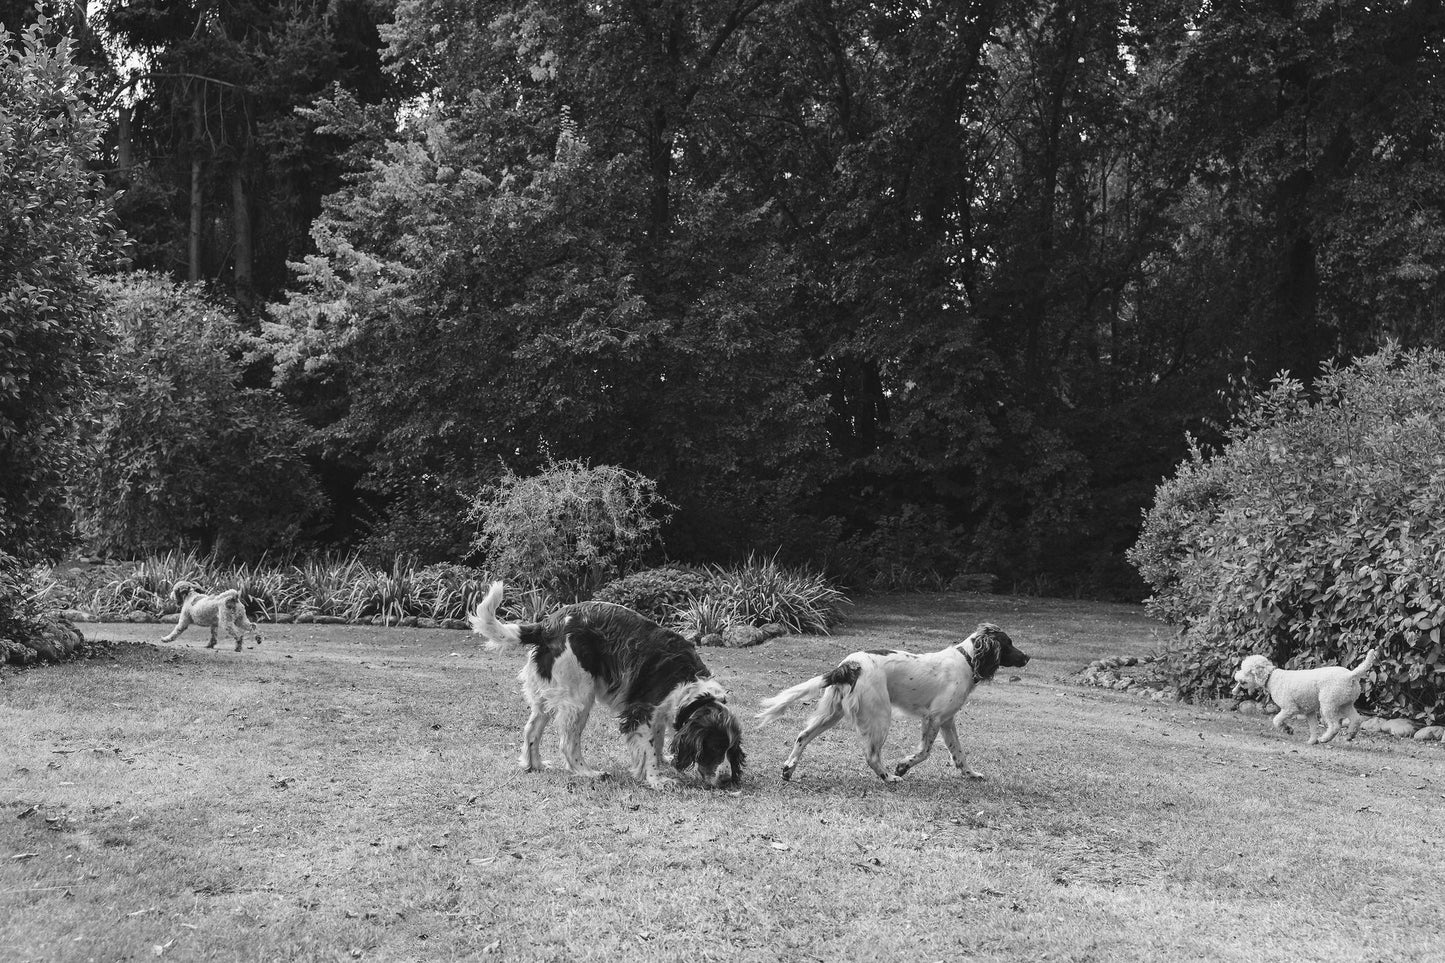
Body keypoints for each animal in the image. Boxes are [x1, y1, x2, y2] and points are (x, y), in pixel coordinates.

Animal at [471, 581, 745, 786]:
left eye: (728, 749)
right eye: (714, 747)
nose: (722, 781)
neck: (689, 686)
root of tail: (547, 625)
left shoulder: (657, 714)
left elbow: (656, 742)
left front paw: (661, 763)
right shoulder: (642, 711)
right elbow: (648, 748)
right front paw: (656, 779)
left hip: (546, 696)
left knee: (531, 731)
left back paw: (534, 765)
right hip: (579, 698)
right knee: (567, 743)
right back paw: (587, 772)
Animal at [757, 621, 1028, 780]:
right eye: (1009, 643)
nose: (1027, 657)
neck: (967, 659)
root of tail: (849, 666)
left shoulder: (947, 720)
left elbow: (958, 753)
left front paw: (971, 774)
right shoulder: (934, 718)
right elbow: (924, 751)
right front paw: (903, 766)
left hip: (833, 713)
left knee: (802, 735)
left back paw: (788, 768)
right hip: (880, 716)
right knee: (871, 756)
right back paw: (889, 777)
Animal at [1231, 644, 1375, 740]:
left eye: (1247, 671)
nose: (1236, 677)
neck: (1271, 677)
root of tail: (1350, 675)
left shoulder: (1290, 708)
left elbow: (1277, 720)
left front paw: (1287, 729)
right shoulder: (1308, 711)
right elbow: (1312, 726)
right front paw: (1310, 740)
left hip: (1328, 705)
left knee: (1334, 725)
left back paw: (1325, 738)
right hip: (1345, 704)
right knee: (1356, 719)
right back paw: (1350, 735)